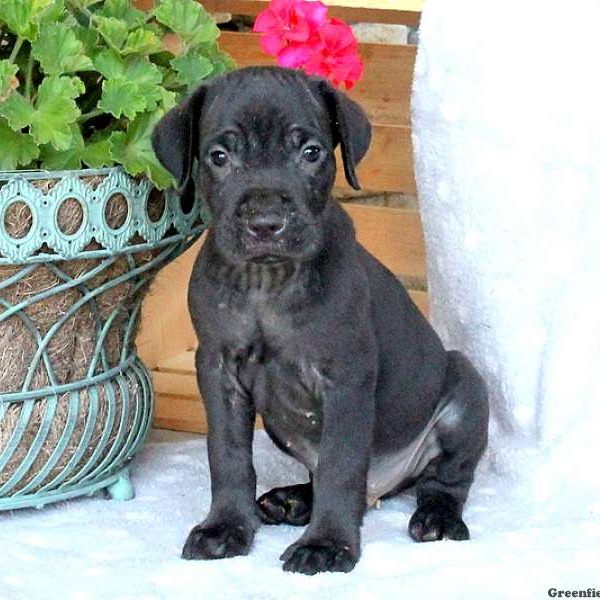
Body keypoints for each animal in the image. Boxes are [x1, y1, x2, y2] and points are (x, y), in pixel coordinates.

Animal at [152, 63, 490, 576]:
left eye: (310, 153)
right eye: (219, 156)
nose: (266, 222)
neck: (267, 282)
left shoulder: (345, 378)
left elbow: (339, 464)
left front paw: (328, 544)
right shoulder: (219, 371)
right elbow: (228, 456)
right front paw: (225, 527)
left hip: (465, 390)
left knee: (444, 479)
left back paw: (436, 517)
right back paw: (293, 500)